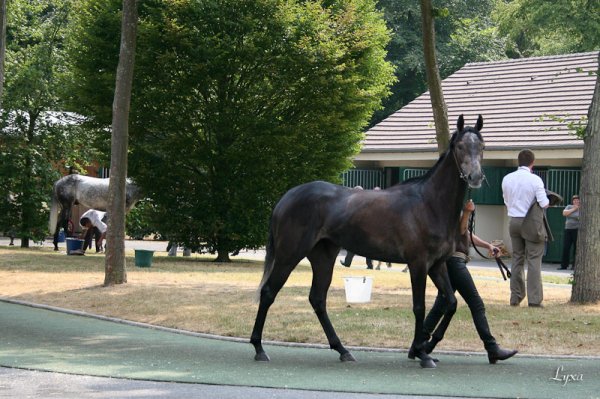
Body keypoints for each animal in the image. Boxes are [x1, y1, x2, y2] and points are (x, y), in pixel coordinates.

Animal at [251, 115, 486, 368]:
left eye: (482, 146)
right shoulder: (418, 264)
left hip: (323, 257)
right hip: (288, 256)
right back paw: (259, 348)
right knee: (269, 293)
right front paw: (421, 353)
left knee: (317, 299)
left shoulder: (437, 265)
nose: (475, 177)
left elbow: (451, 303)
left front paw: (427, 346)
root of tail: (286, 198)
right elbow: (419, 307)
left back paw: (342, 350)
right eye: (460, 146)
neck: (429, 203)